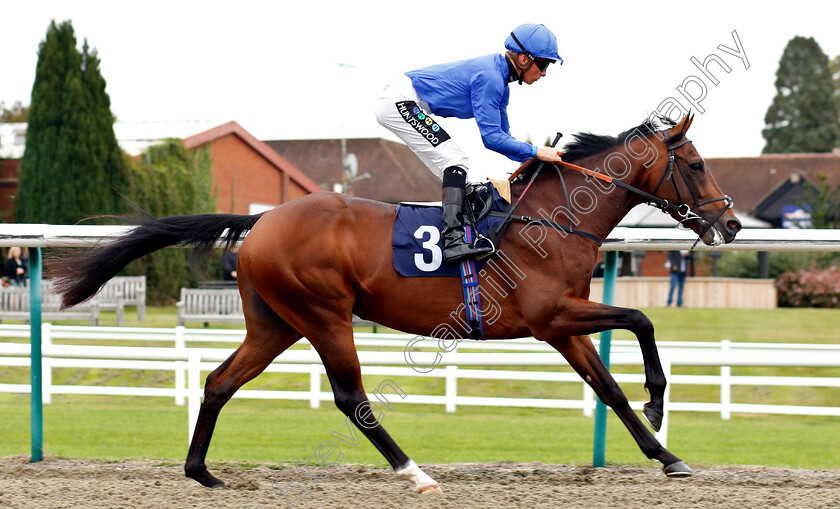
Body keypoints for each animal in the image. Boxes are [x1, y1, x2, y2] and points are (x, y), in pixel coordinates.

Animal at [49, 113, 740, 494]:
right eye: (695, 164)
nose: (730, 224)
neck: (551, 219)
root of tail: (265, 219)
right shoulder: (549, 317)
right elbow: (641, 320)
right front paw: (659, 400)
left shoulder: (562, 327)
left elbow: (609, 390)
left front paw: (667, 455)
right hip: (325, 314)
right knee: (351, 398)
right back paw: (415, 472)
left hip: (275, 323)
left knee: (219, 381)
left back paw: (201, 471)